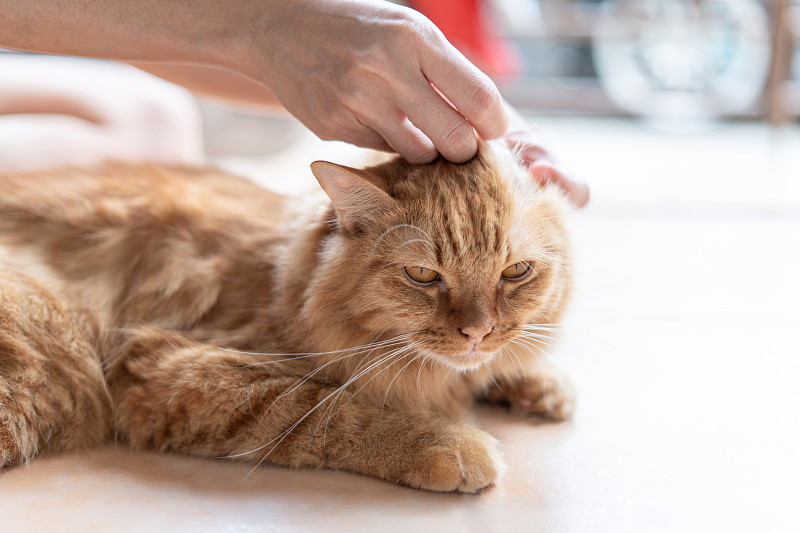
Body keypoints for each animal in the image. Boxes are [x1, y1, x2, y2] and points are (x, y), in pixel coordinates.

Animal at [0, 140, 576, 490]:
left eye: (516, 272)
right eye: (423, 276)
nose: (477, 332)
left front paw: (537, 385)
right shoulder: (171, 368)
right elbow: (333, 411)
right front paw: (448, 444)